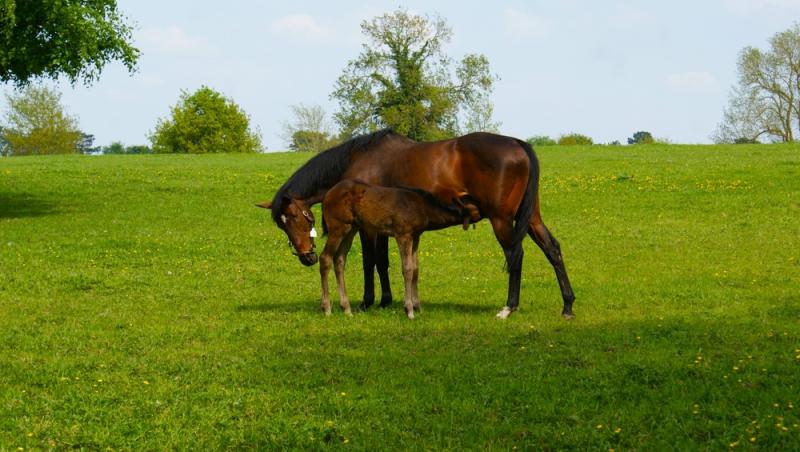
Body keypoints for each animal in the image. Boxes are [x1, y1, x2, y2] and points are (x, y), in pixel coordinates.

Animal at [322, 179, 466, 318]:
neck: (421, 205)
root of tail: (328, 194)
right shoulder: (403, 235)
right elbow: (407, 269)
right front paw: (409, 310)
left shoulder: (415, 237)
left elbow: (415, 269)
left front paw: (417, 307)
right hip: (337, 227)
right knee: (325, 257)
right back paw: (327, 308)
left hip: (351, 229)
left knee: (339, 260)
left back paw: (346, 309)